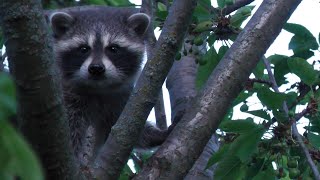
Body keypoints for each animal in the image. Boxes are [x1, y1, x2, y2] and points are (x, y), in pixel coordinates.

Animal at [46, 5, 165, 166]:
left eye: (113, 49)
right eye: (83, 49)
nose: (96, 68)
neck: (98, 88)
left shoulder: (119, 98)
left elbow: (123, 128)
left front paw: (156, 135)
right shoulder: (65, 94)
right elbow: (70, 130)